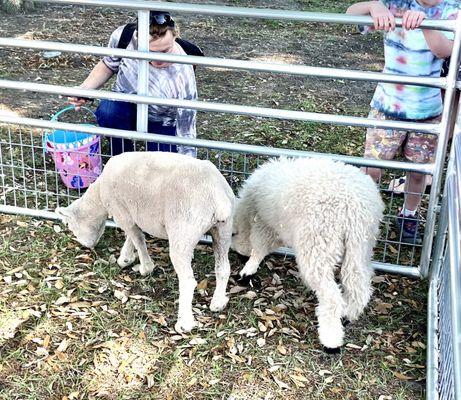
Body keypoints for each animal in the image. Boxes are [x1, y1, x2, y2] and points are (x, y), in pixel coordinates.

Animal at [56, 152, 235, 332]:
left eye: (70, 226)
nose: (87, 246)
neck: (99, 197)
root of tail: (216, 197)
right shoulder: (132, 214)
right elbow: (132, 236)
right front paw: (125, 258)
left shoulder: (121, 212)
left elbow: (138, 239)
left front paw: (144, 267)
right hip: (223, 229)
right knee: (223, 268)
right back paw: (218, 303)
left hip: (184, 227)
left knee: (188, 281)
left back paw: (184, 323)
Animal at [232, 156, 382, 350]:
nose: (236, 251)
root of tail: (352, 208)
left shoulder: (264, 225)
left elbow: (259, 248)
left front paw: (248, 269)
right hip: (360, 246)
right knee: (358, 284)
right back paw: (348, 314)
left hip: (318, 245)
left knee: (332, 297)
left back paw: (331, 339)